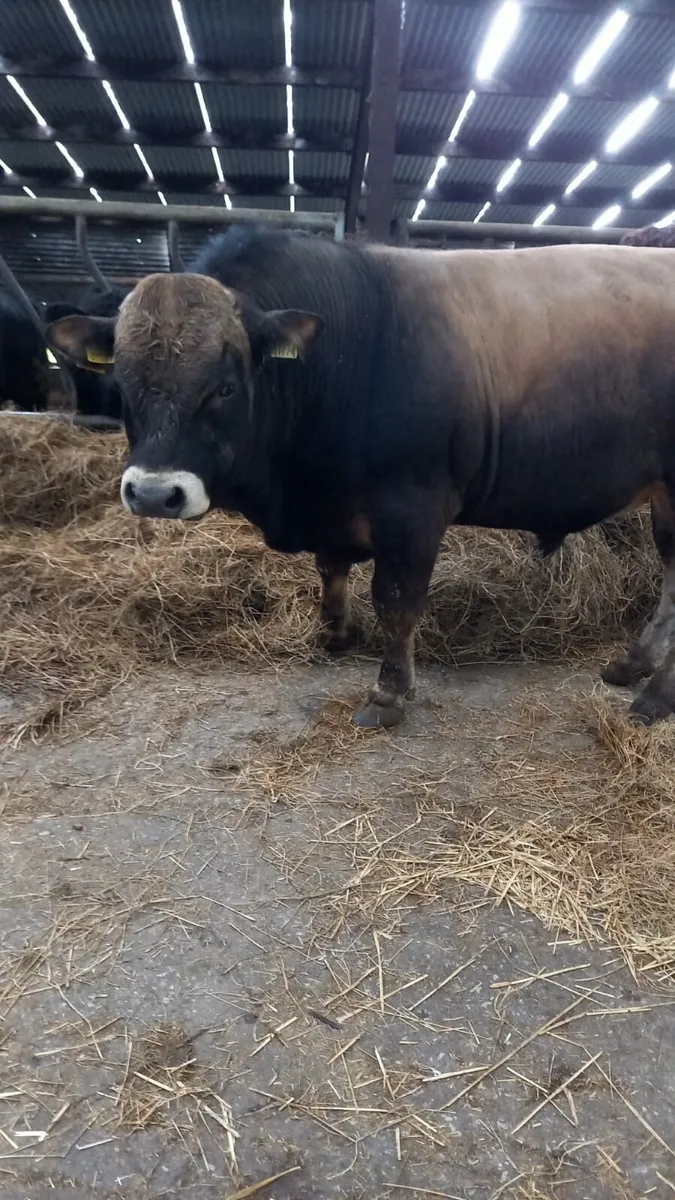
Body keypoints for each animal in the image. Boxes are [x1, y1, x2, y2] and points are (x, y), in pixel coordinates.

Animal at [45, 224, 675, 728]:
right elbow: (332, 568)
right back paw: (632, 665)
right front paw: (337, 635)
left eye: (224, 387)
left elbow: (396, 601)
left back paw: (654, 698)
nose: (154, 494)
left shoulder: (413, 511)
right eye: (121, 382)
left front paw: (388, 694)